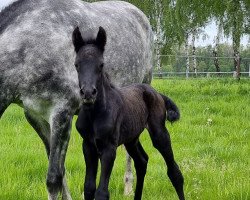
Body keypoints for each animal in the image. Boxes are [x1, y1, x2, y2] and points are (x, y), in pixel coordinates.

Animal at [72, 26, 184, 200]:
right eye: (77, 64)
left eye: (101, 65)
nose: (88, 93)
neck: (95, 114)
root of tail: (157, 93)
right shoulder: (88, 146)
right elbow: (89, 187)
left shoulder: (109, 148)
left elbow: (102, 192)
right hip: (131, 139)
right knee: (142, 161)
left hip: (159, 133)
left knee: (174, 172)